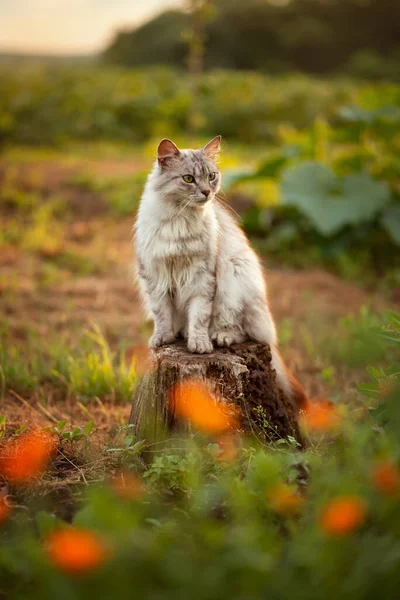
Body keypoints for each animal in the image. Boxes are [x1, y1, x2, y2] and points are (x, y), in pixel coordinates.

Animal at [134, 136, 306, 408]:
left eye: (211, 176)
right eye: (188, 179)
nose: (207, 192)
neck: (179, 219)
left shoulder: (202, 278)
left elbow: (199, 316)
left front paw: (199, 344)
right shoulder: (154, 275)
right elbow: (162, 315)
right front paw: (163, 338)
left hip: (234, 278)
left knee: (241, 329)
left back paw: (219, 337)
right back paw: (181, 332)